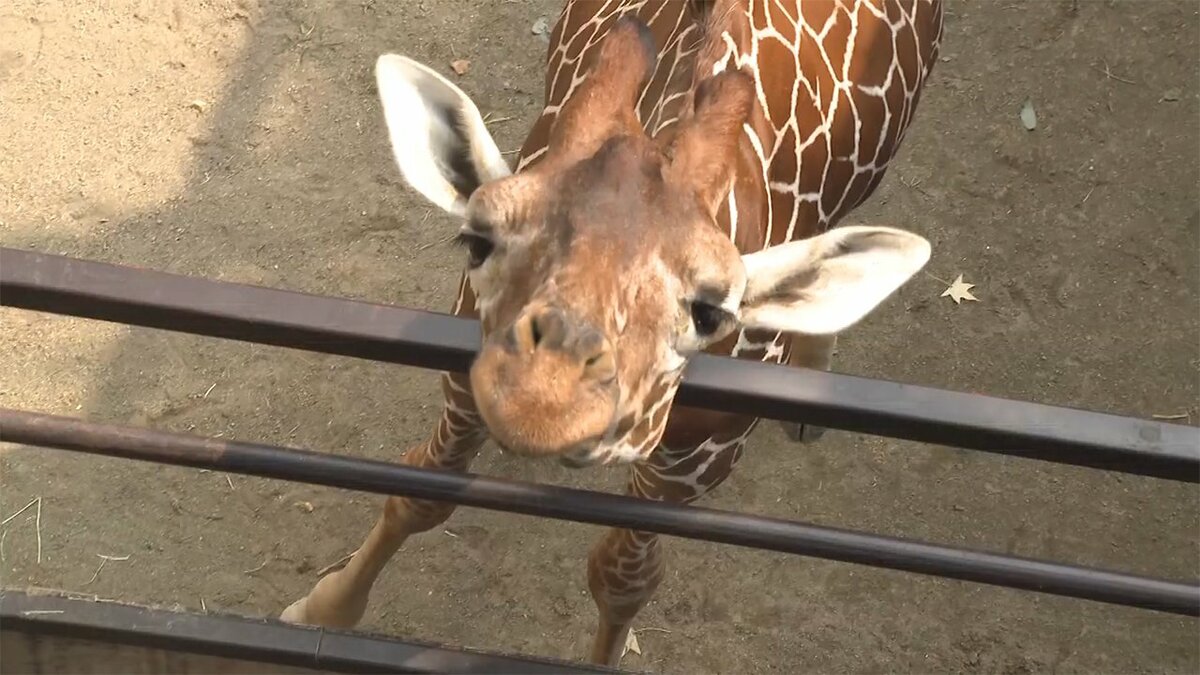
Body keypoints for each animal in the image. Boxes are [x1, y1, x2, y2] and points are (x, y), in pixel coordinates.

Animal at [278, 0, 936, 662]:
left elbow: (624, 578)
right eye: (477, 240)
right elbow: (421, 488)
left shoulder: (699, 459)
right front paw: (321, 611)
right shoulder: (463, 373)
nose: (543, 397)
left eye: (710, 311)